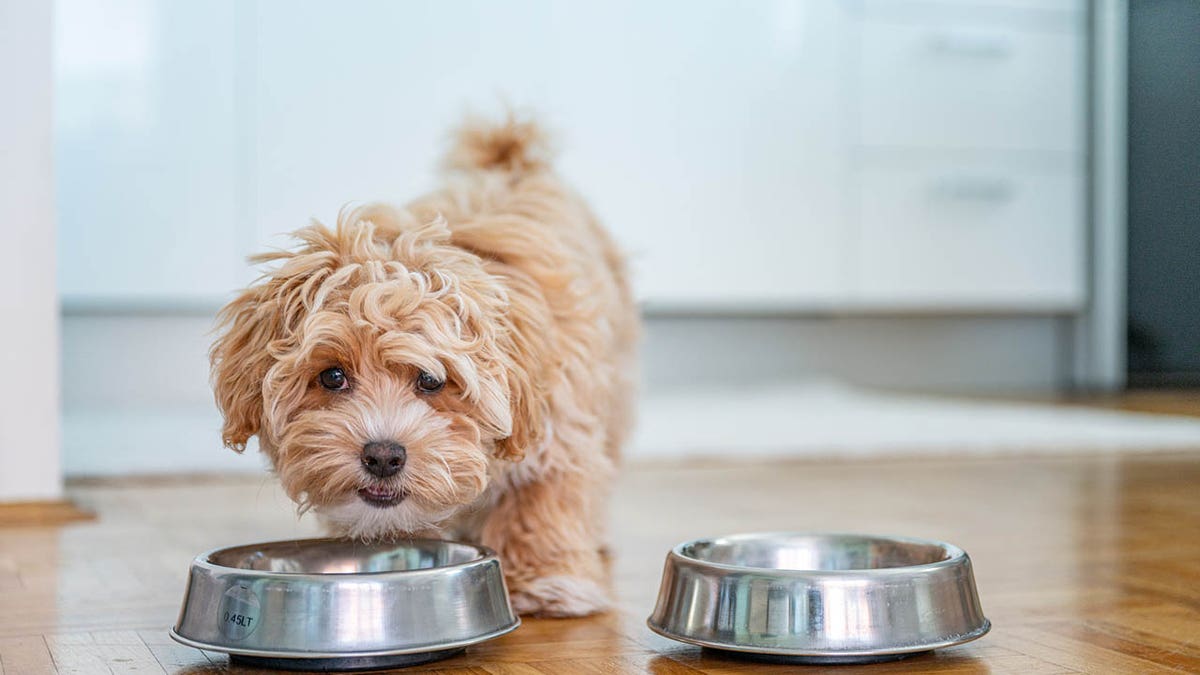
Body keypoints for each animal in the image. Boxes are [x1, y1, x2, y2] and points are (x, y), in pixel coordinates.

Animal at [208, 111, 638, 614]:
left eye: (431, 380)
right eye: (332, 376)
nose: (383, 456)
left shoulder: (559, 427)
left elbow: (542, 497)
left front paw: (544, 580)